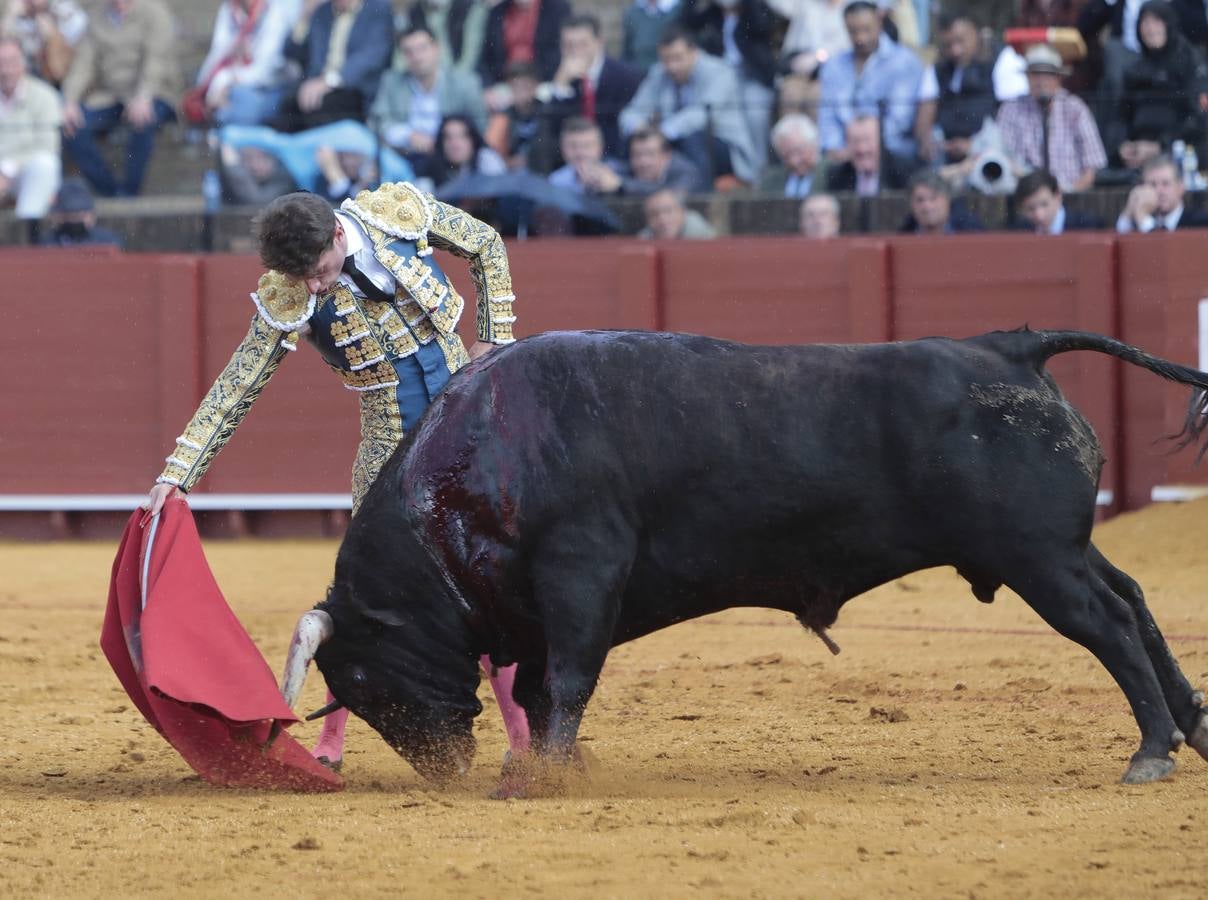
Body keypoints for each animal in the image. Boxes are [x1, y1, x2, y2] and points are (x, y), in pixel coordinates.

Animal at [309, 328, 1208, 787]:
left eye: (358, 675)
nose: (443, 772)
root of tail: (1011, 349)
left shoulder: (579, 572)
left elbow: (564, 681)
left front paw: (548, 776)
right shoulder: (537, 609)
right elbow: (535, 687)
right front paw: (547, 769)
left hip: (1037, 559)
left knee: (1109, 623)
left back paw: (1150, 752)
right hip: (1063, 551)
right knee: (1134, 599)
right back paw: (1192, 728)